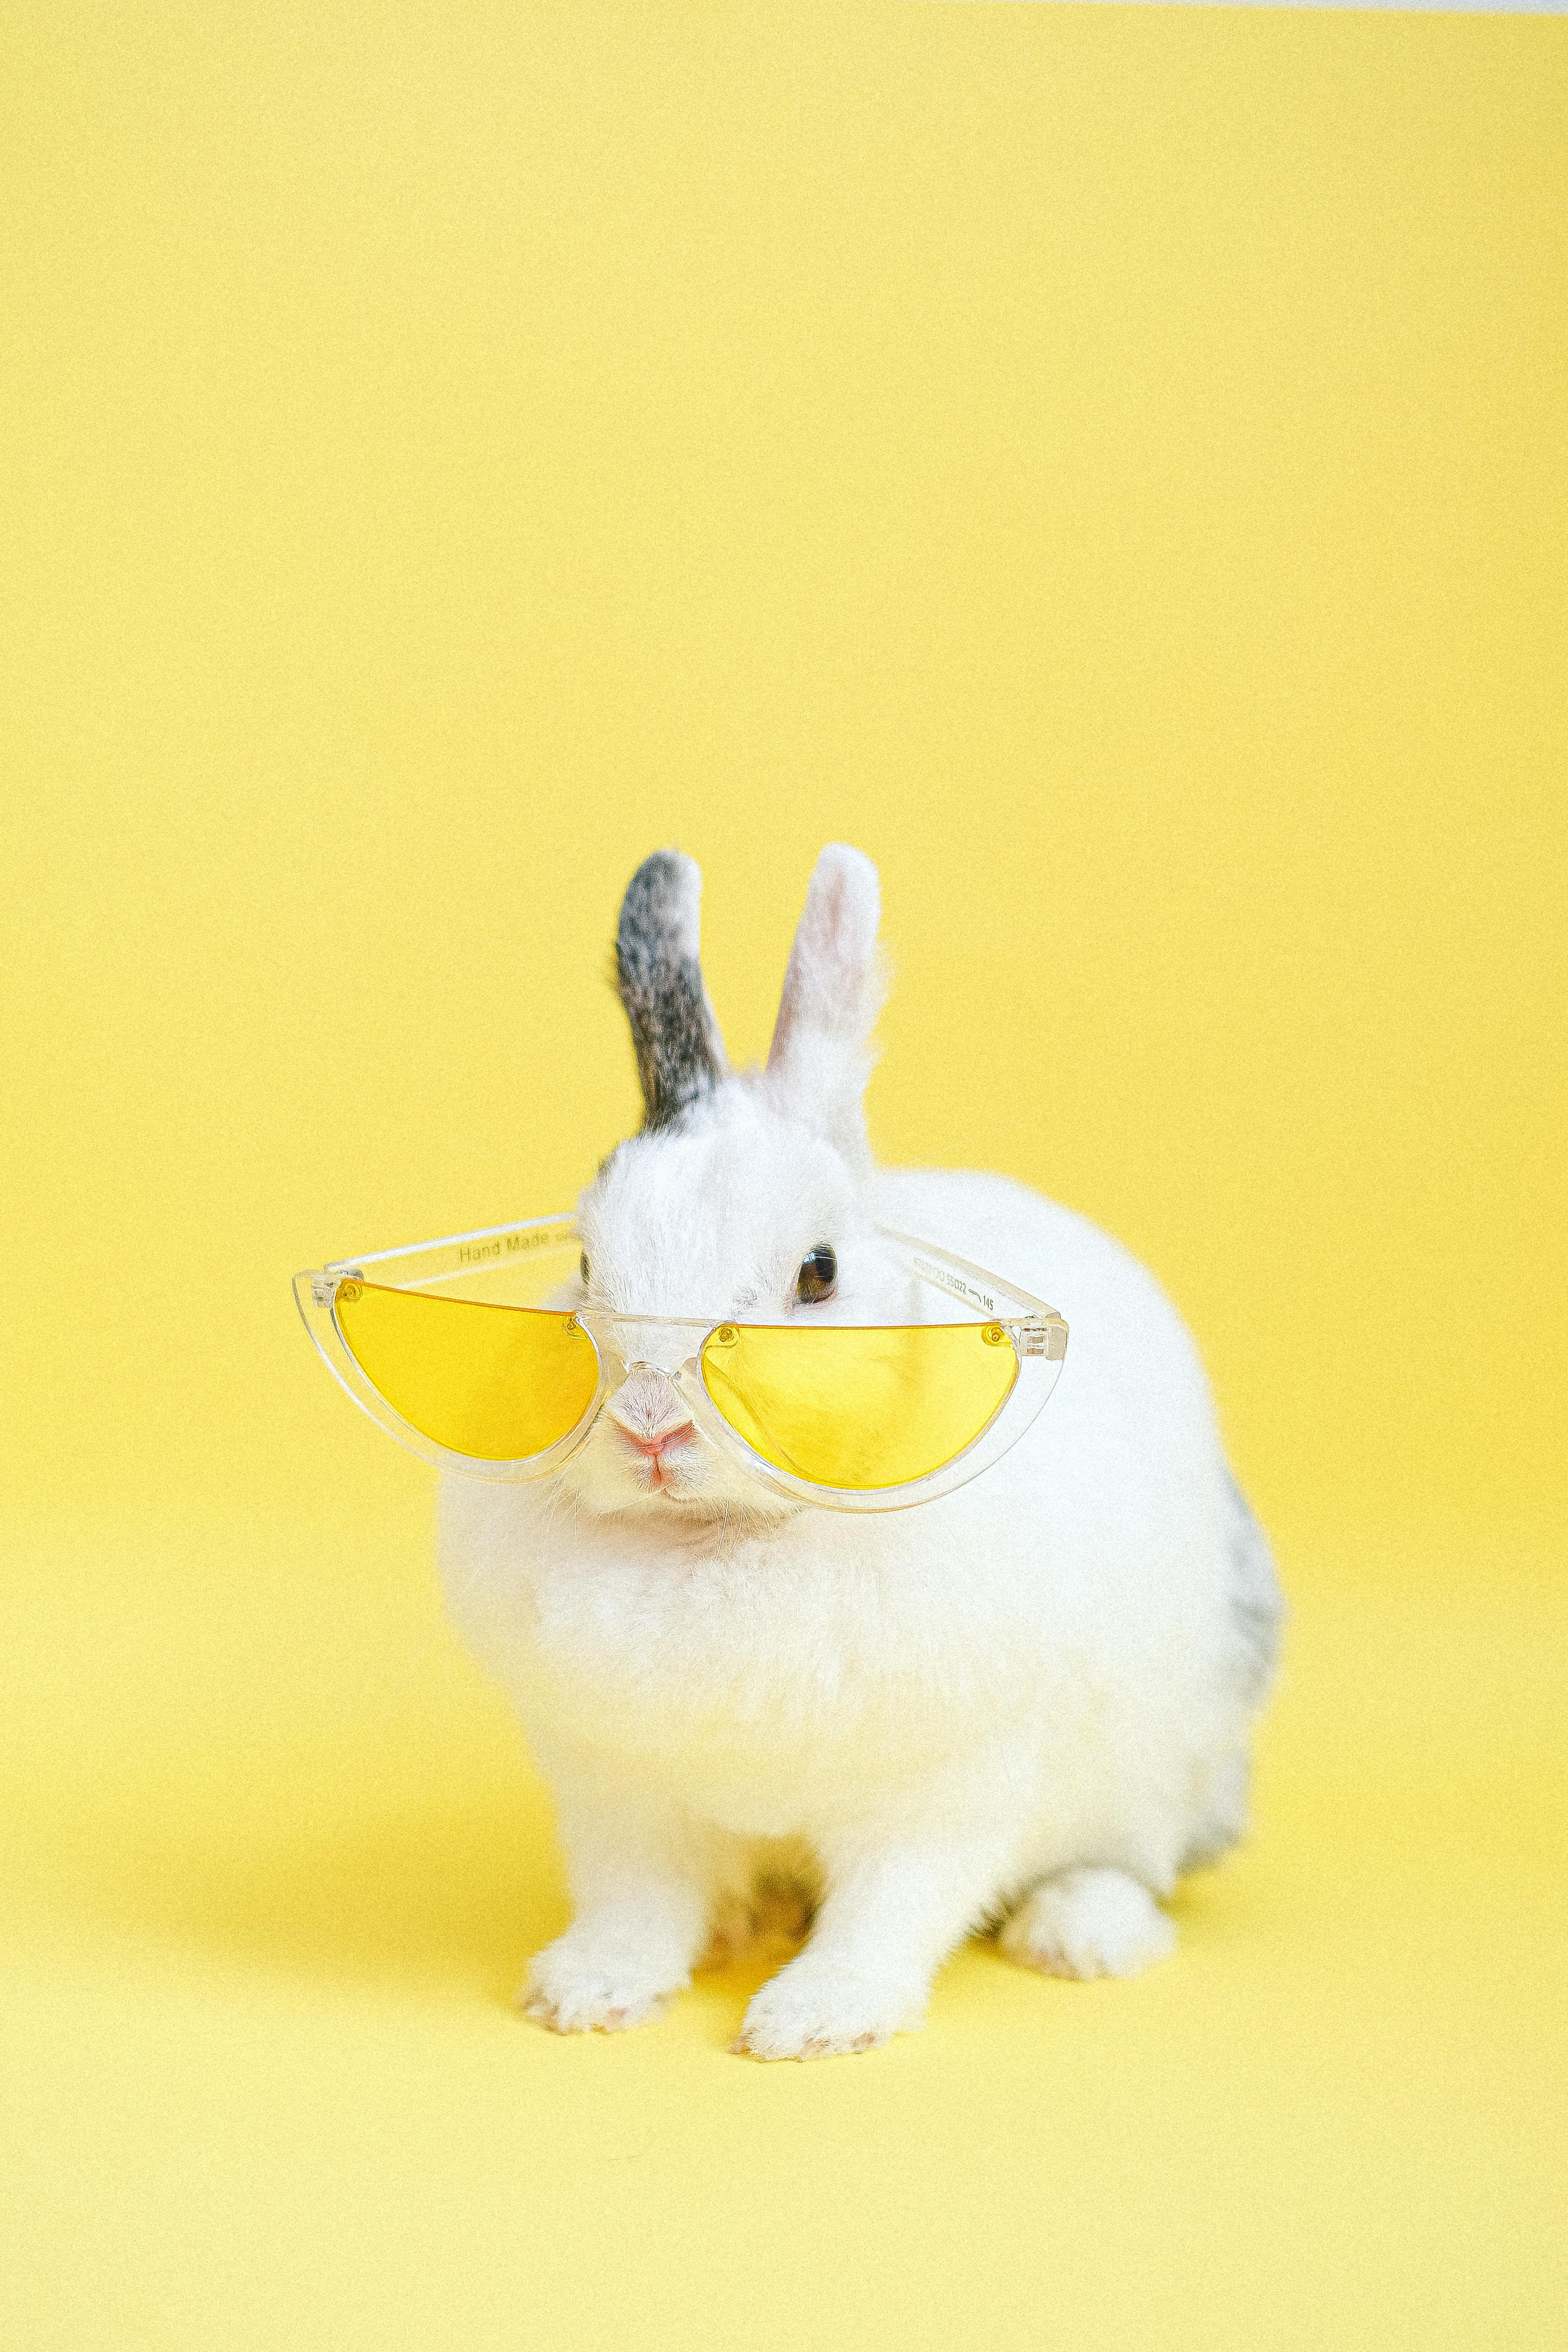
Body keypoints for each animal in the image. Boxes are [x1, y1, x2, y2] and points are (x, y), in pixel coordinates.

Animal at [435, 847, 1279, 2060]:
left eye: (818, 1272)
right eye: (588, 1266)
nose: (648, 1421)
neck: (721, 1541)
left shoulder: (941, 1794)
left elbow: (890, 1911)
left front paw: (816, 2018)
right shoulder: (620, 1794)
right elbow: (635, 1903)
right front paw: (587, 1992)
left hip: (1170, 1755)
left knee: (1134, 1858)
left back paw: (1079, 1931)